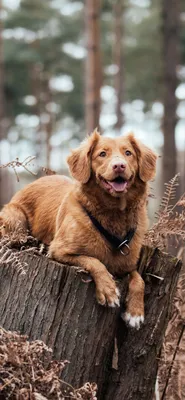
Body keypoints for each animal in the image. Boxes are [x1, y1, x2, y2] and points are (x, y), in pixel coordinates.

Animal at [0, 130, 157, 328]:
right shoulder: (59, 250)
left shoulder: (126, 264)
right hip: (15, 219)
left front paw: (135, 312)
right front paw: (108, 290)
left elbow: (139, 279)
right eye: (102, 154)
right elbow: (94, 261)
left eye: (128, 153)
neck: (113, 213)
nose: (119, 166)